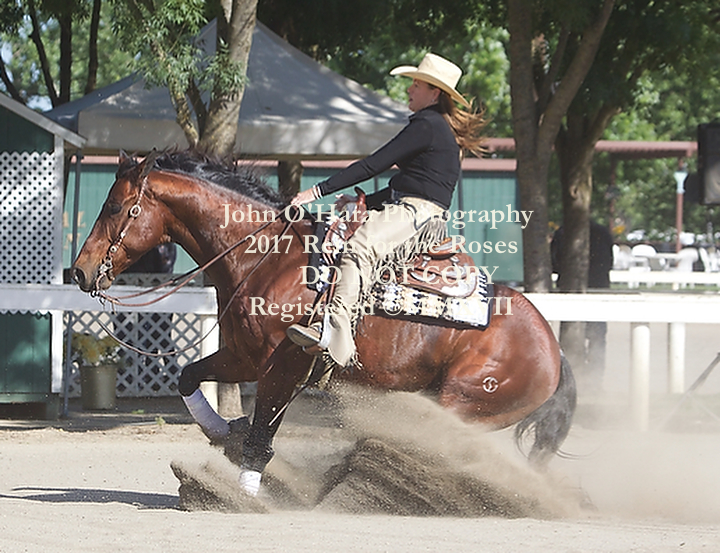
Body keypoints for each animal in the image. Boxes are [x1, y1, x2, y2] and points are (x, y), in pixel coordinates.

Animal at [71, 150, 576, 496]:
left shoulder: (284, 365)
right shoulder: (243, 358)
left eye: (114, 207)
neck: (267, 258)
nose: (78, 272)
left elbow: (264, 428)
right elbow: (189, 377)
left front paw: (246, 488)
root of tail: (554, 349)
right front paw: (223, 432)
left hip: (460, 403)